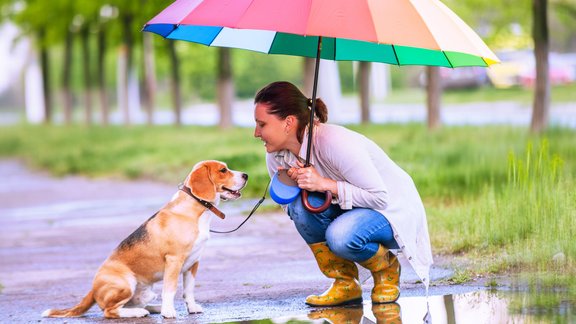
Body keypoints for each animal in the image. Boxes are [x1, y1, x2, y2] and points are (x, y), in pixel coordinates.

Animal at [40, 161, 248, 318]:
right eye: (223, 170)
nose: (246, 175)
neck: (194, 210)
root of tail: (93, 289)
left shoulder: (194, 262)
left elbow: (188, 289)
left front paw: (191, 308)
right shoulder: (174, 261)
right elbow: (170, 289)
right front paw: (168, 312)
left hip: (146, 292)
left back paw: (152, 308)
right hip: (126, 283)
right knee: (110, 311)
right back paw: (139, 312)